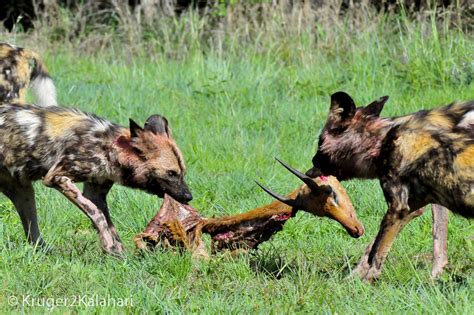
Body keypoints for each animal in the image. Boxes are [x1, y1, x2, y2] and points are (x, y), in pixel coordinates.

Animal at [0, 104, 193, 256]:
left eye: (182, 173)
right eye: (171, 173)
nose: (189, 197)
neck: (109, 147)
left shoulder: (95, 193)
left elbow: (108, 224)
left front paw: (119, 254)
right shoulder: (56, 178)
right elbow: (98, 215)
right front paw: (109, 246)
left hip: (23, 194)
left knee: (33, 233)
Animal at [306, 92, 472, 282]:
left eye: (320, 142)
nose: (309, 169)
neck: (382, 141)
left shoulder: (401, 207)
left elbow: (377, 251)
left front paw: (362, 280)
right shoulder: (419, 202)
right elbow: (375, 245)